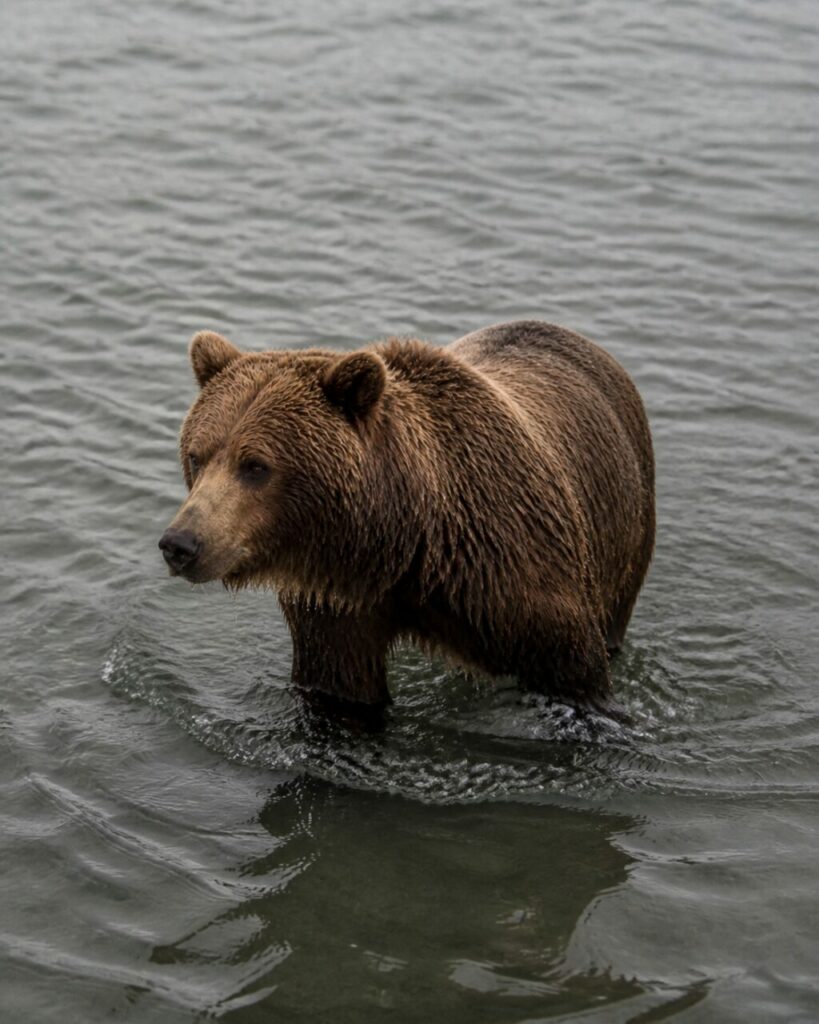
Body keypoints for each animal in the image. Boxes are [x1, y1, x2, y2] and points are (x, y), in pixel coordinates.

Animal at [159, 320, 655, 717]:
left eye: (256, 466)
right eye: (197, 456)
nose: (180, 543)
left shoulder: (524, 581)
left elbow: (576, 673)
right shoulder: (337, 605)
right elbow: (342, 687)